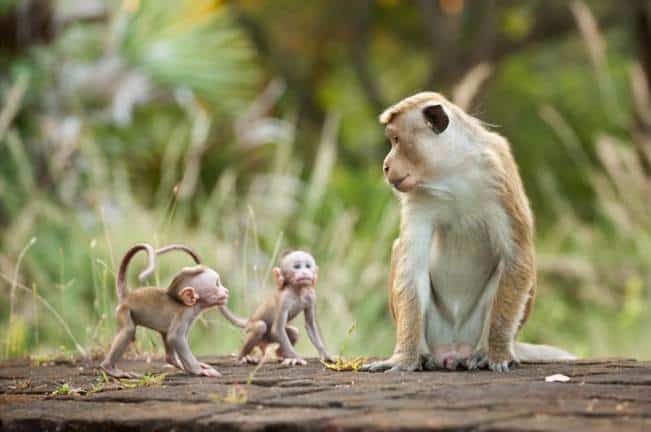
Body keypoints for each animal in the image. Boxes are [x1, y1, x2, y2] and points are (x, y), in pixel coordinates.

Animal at [100, 243, 229, 378]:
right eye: (217, 284)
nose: (226, 291)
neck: (192, 305)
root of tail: (128, 296)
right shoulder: (184, 314)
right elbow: (175, 338)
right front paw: (199, 370)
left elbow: (171, 337)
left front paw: (193, 367)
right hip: (123, 311)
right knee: (129, 330)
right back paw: (109, 368)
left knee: (164, 334)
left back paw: (174, 361)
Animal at [361, 92, 575, 373]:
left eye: (396, 139)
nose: (386, 166)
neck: (453, 172)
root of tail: (452, 351)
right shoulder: (419, 197)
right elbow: (412, 266)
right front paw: (403, 359)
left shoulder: (499, 175)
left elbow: (517, 256)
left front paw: (497, 353)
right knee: (400, 252)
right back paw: (423, 355)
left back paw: (484, 351)